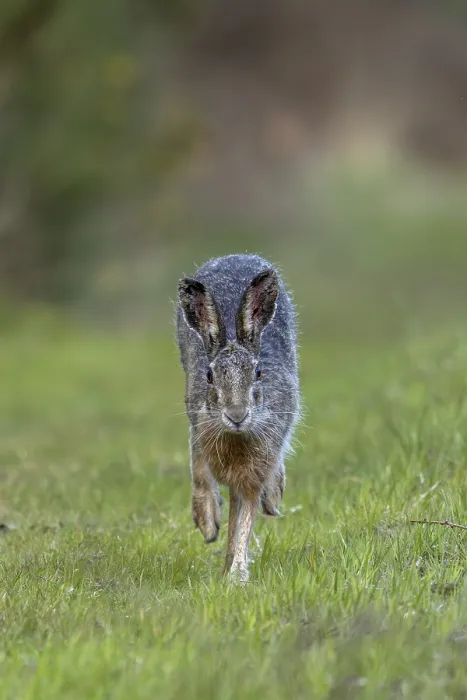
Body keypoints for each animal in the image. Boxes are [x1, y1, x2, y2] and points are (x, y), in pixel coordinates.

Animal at [176, 254, 300, 582]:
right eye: (209, 376)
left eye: (258, 373)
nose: (236, 415)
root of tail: (234, 256)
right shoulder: (200, 426)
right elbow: (201, 471)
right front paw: (208, 524)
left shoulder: (254, 471)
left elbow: (245, 518)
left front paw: (236, 575)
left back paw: (274, 497)